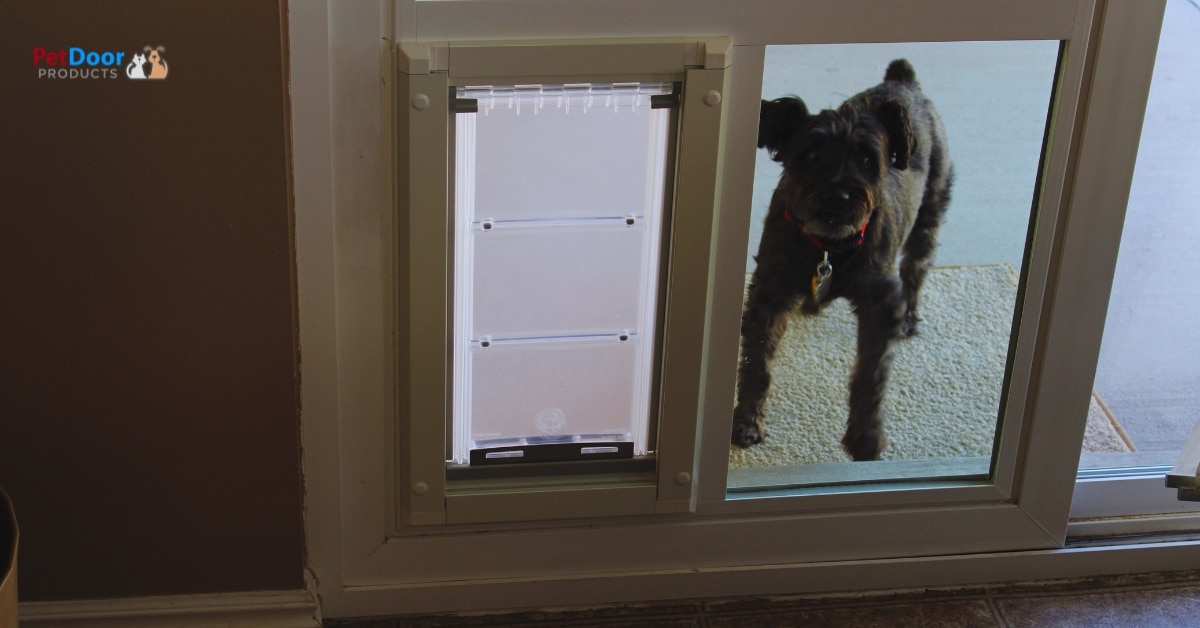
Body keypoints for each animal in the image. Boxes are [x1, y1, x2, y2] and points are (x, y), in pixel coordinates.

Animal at [729, 60, 955, 461]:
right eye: (809, 154)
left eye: (866, 158)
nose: (837, 195)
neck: (829, 247)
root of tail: (903, 81)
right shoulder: (768, 292)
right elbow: (757, 363)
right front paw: (747, 422)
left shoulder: (879, 301)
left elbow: (870, 373)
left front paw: (865, 438)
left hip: (929, 213)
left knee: (915, 269)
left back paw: (909, 318)